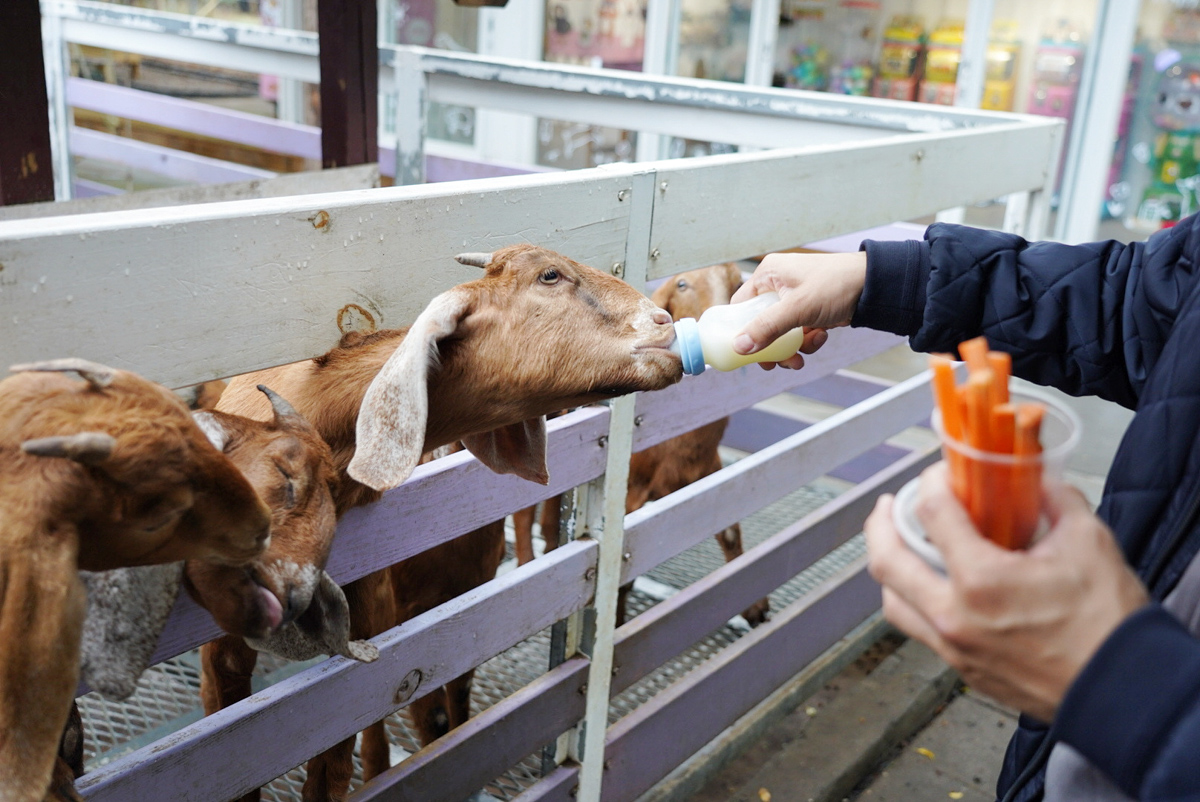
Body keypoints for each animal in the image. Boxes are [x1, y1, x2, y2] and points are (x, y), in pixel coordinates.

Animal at [513, 262, 772, 624]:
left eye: (738, 283)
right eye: (682, 284)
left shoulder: (707, 472)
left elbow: (730, 530)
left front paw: (756, 605)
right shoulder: (630, 494)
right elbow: (622, 572)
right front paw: (618, 620)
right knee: (523, 512)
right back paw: (526, 562)